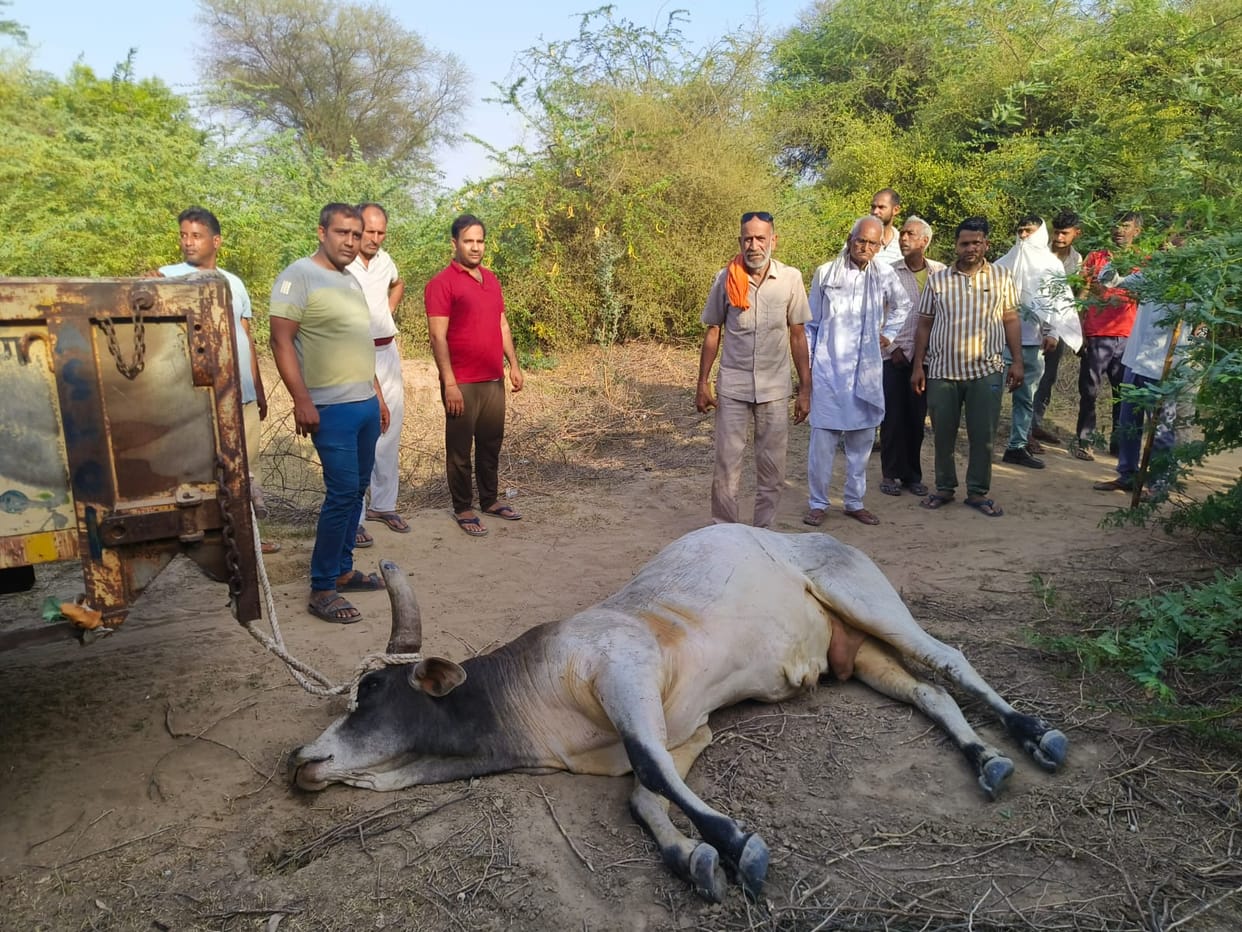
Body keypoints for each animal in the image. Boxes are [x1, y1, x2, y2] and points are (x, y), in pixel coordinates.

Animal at [291, 525, 1067, 902]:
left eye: (370, 692)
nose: (301, 759)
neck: (526, 697)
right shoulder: (687, 729)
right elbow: (644, 793)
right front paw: (690, 857)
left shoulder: (624, 672)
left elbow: (654, 777)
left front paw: (736, 843)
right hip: (859, 654)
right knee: (929, 692)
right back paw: (986, 759)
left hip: (866, 598)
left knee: (950, 660)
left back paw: (1032, 735)